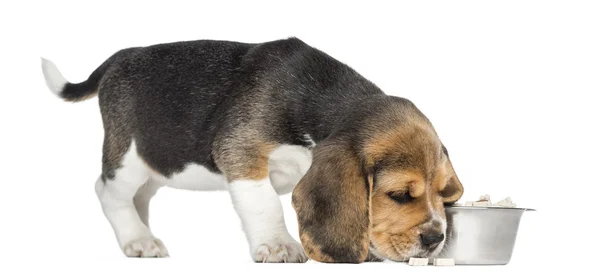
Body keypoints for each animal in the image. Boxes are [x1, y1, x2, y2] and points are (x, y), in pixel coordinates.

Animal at [41, 36, 464, 264]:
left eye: (444, 194)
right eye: (398, 195)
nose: (435, 239)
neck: (320, 100)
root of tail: (122, 55)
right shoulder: (241, 154)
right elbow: (265, 203)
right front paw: (278, 246)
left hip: (159, 162)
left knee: (138, 197)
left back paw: (142, 230)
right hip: (129, 158)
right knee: (107, 191)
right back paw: (136, 238)